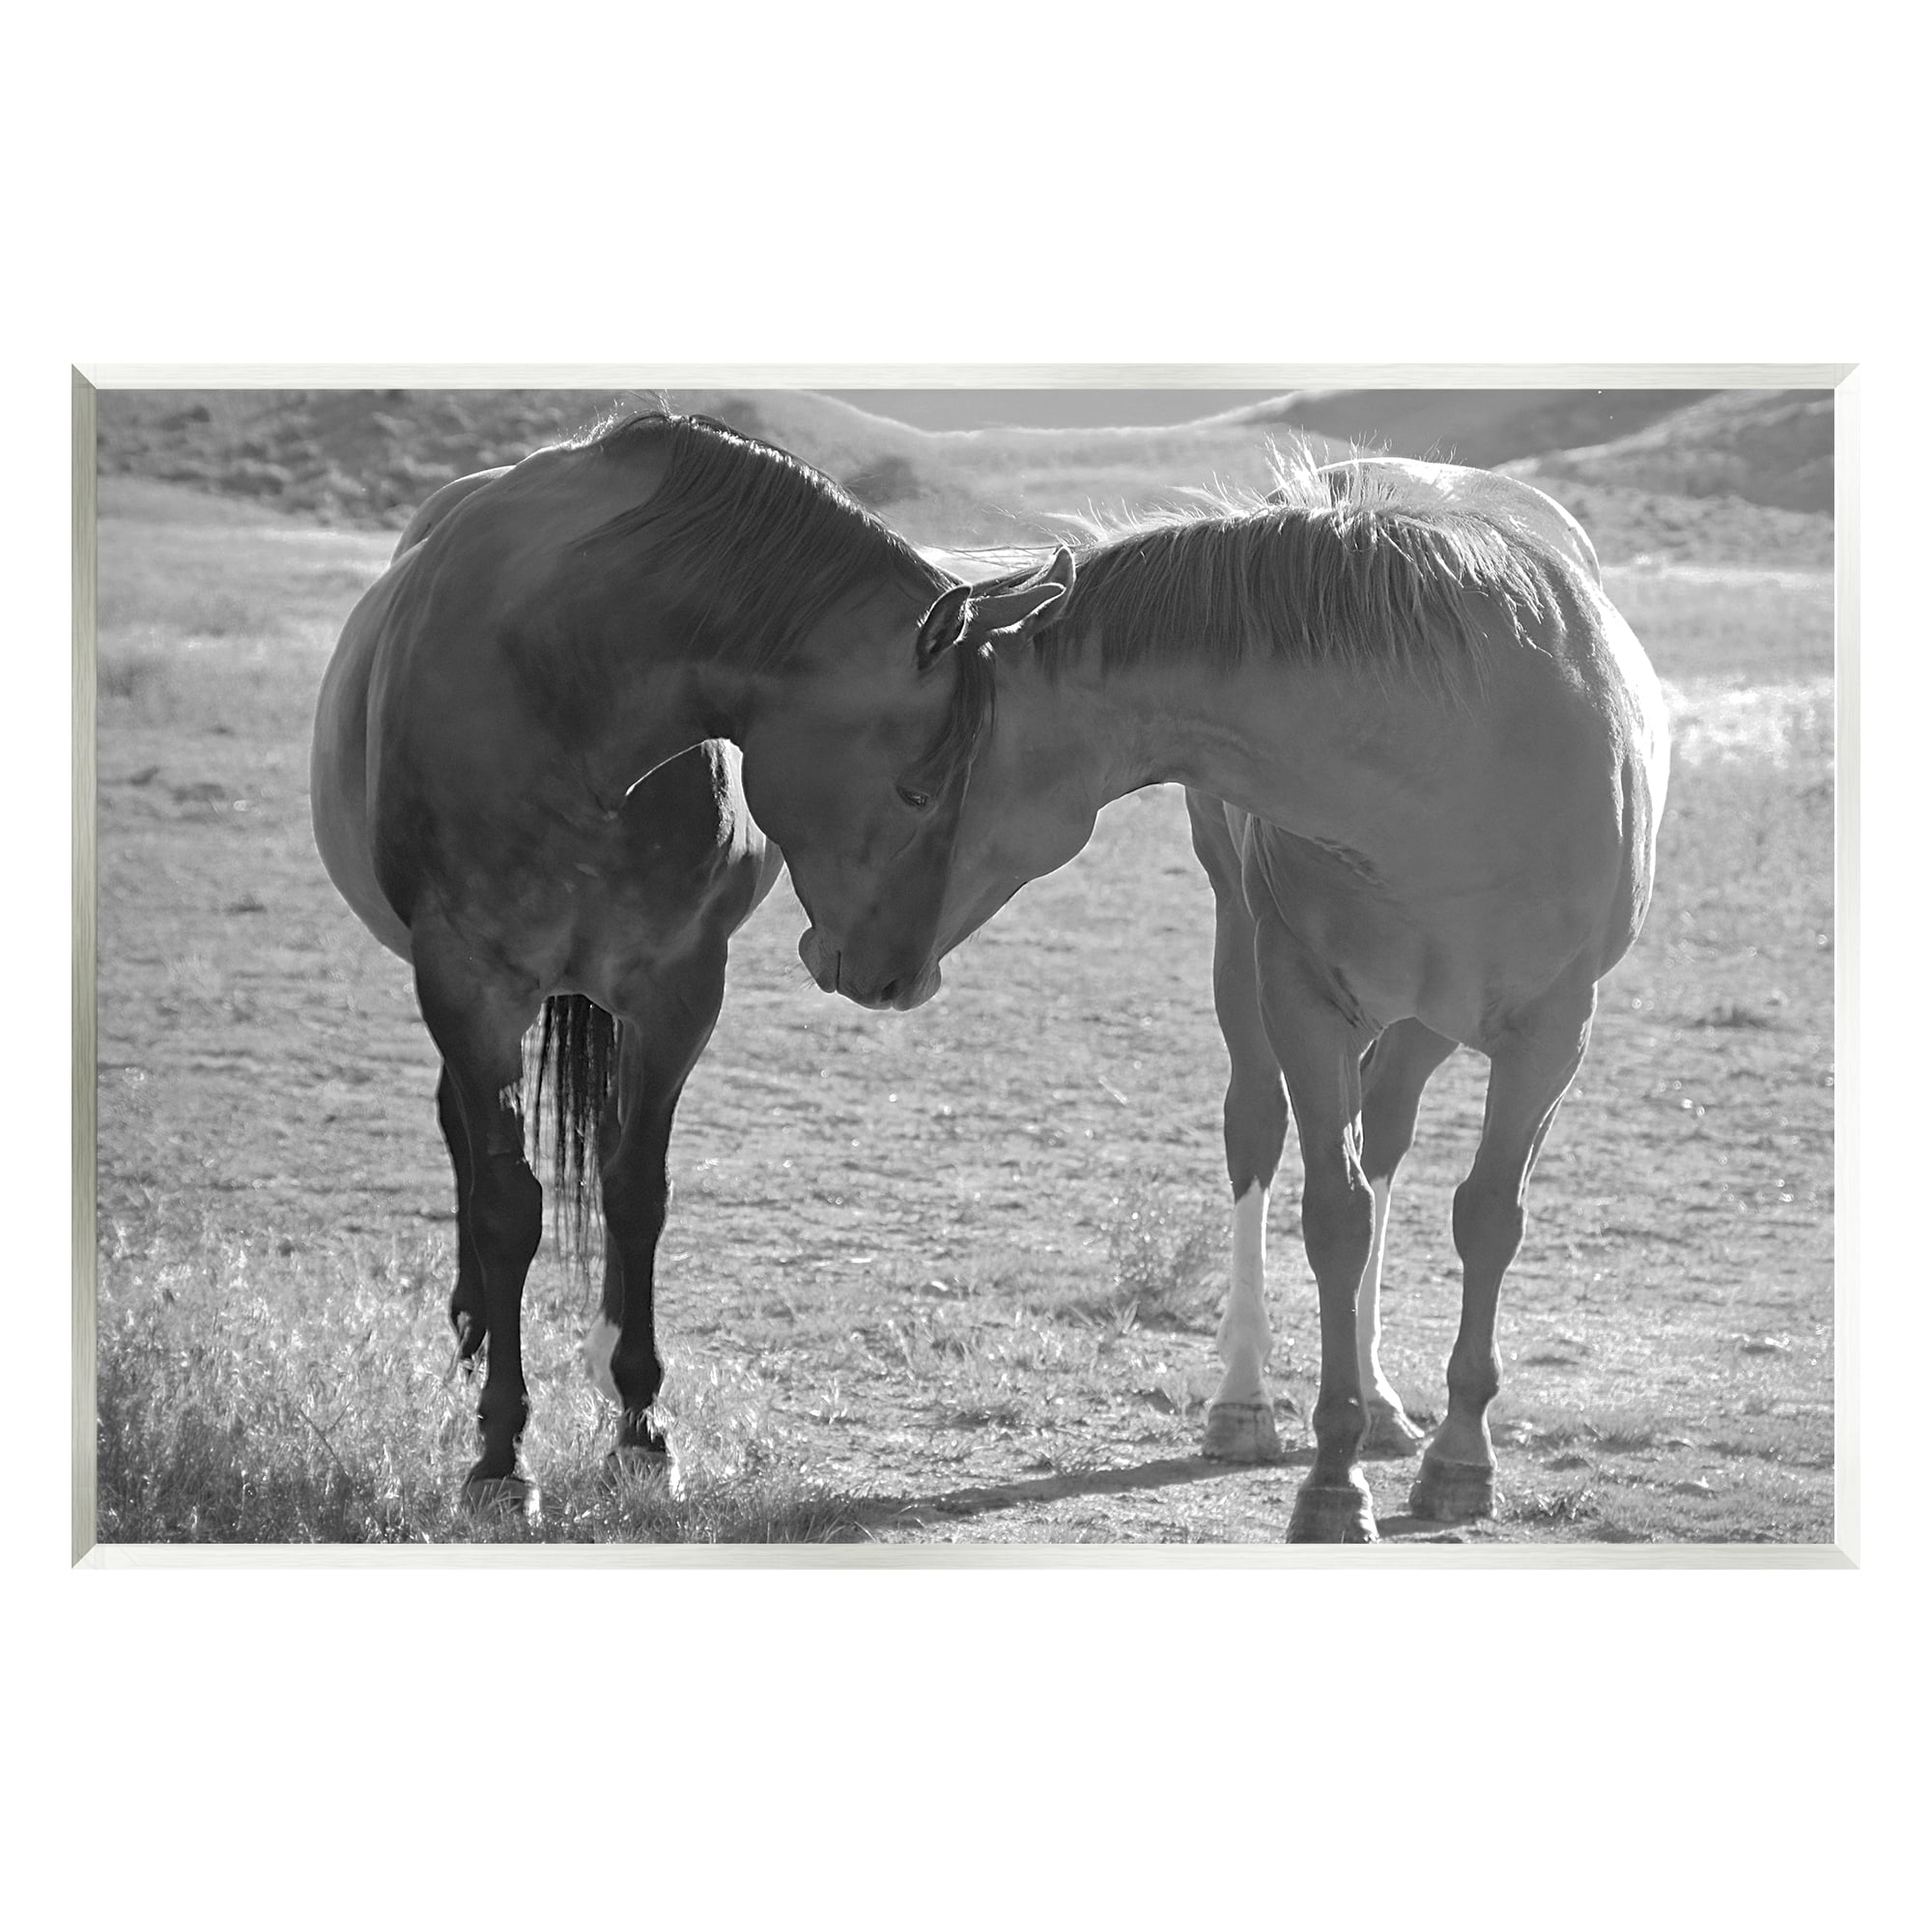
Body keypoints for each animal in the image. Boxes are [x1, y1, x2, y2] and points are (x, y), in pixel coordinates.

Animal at [309, 410, 1068, 1509]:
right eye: (919, 787)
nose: (898, 978)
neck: (565, 687)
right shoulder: (467, 982)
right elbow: (507, 1204)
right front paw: (500, 1454)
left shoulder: (675, 991)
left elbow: (637, 1190)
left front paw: (639, 1426)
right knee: (463, 1135)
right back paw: (472, 1324)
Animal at [835, 453, 1669, 1543]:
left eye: (917, 786)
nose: (841, 955)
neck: (1455, 752)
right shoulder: (1303, 1002)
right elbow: (1332, 1217)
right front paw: (1332, 1479)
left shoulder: (1552, 1033)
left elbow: (1485, 1217)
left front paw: (1459, 1458)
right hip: (1245, 952)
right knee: (1256, 1132)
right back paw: (1243, 1400)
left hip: (1425, 1021)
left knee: (1387, 1135)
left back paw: (1388, 1402)